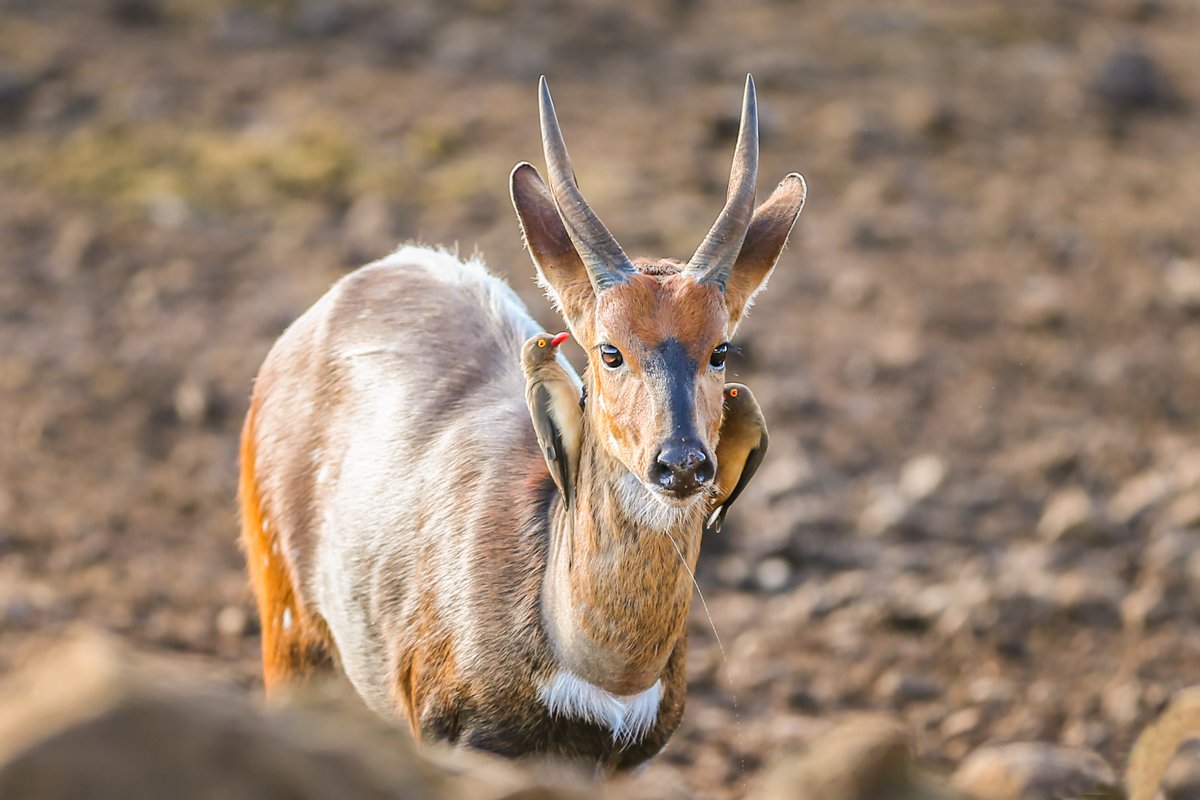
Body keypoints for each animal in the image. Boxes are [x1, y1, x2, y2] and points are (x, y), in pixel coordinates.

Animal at [238, 74, 806, 767]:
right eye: (608, 350)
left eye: (721, 349)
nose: (681, 463)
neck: (601, 679)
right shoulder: (451, 730)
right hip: (285, 615)